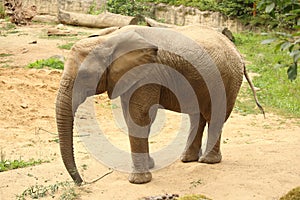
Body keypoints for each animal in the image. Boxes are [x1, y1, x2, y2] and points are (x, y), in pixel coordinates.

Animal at [55, 24, 264, 184]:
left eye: (85, 76)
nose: (81, 182)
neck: (110, 39)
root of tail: (237, 52)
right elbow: (133, 117)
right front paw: (149, 167)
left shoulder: (147, 74)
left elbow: (139, 117)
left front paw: (138, 181)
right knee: (198, 116)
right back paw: (188, 160)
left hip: (225, 80)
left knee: (215, 116)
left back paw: (207, 161)